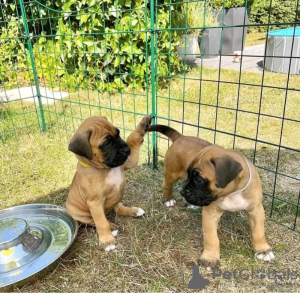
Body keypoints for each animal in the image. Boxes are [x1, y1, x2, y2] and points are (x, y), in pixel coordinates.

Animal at [64, 115, 151, 250]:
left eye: (118, 133)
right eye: (106, 143)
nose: (126, 150)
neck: (105, 168)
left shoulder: (129, 161)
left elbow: (133, 139)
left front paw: (143, 124)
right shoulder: (95, 203)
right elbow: (101, 223)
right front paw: (107, 241)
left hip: (116, 200)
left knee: (118, 209)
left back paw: (134, 211)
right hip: (77, 213)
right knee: (94, 221)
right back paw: (112, 228)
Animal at [149, 124, 276, 268]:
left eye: (199, 180)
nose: (183, 192)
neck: (232, 193)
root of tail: (181, 137)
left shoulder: (256, 211)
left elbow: (258, 232)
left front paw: (263, 250)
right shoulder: (211, 214)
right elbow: (212, 238)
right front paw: (210, 258)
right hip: (172, 172)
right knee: (167, 184)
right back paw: (168, 199)